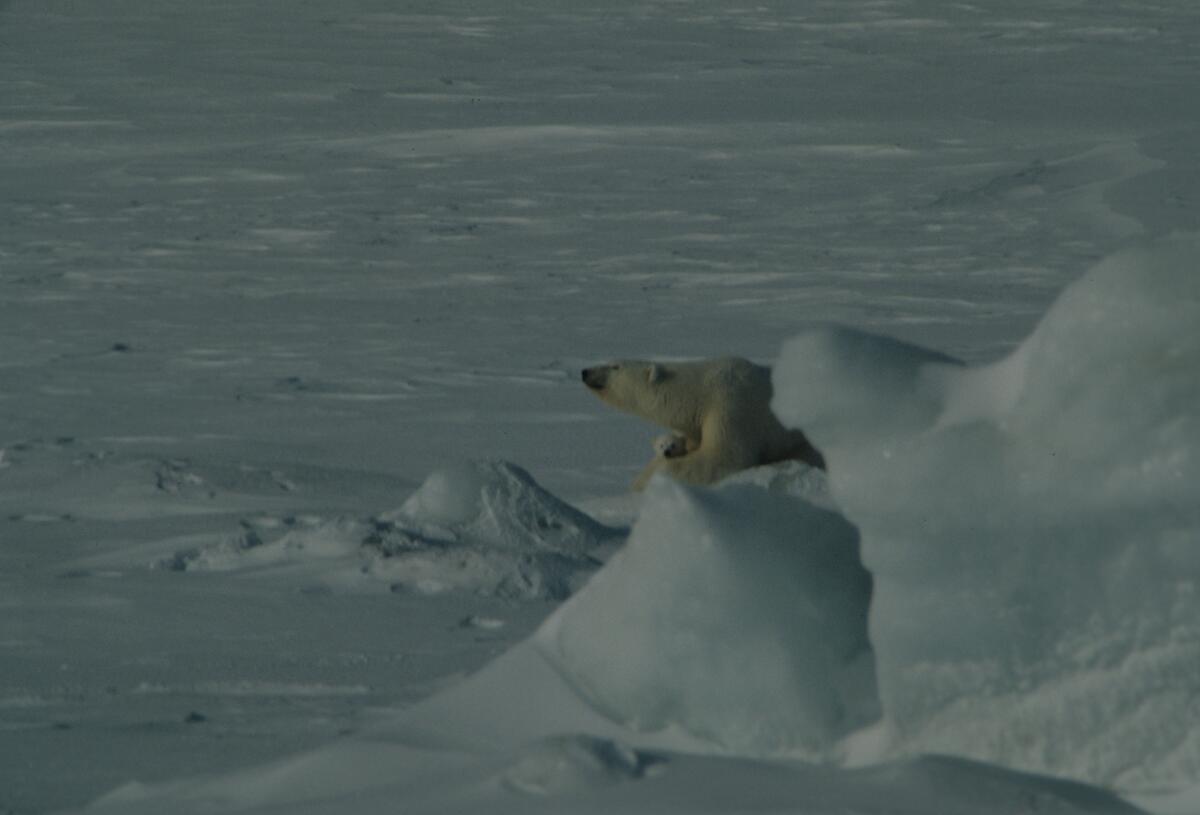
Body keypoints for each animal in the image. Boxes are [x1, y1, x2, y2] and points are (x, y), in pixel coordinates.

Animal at [580, 357, 825, 492]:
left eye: (615, 366)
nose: (585, 372)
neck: (700, 391)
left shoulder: (730, 407)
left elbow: (722, 457)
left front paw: (645, 483)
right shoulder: (695, 424)